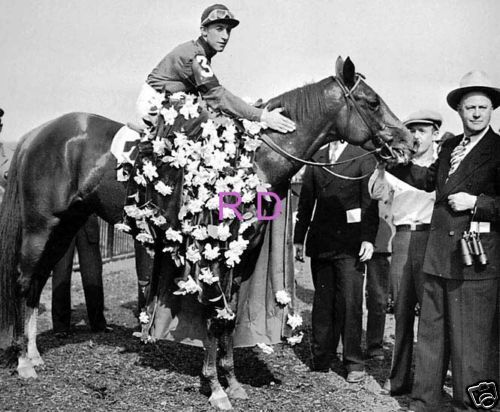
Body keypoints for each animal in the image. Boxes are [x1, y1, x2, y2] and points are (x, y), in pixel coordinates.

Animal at [0, 57, 414, 408]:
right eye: (372, 102)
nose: (408, 141)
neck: (252, 158)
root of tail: (36, 134)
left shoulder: (241, 255)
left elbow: (229, 316)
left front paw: (232, 382)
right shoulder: (216, 250)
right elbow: (217, 317)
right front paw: (215, 388)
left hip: (64, 226)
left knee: (36, 282)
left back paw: (34, 353)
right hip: (41, 226)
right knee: (22, 281)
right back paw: (23, 362)